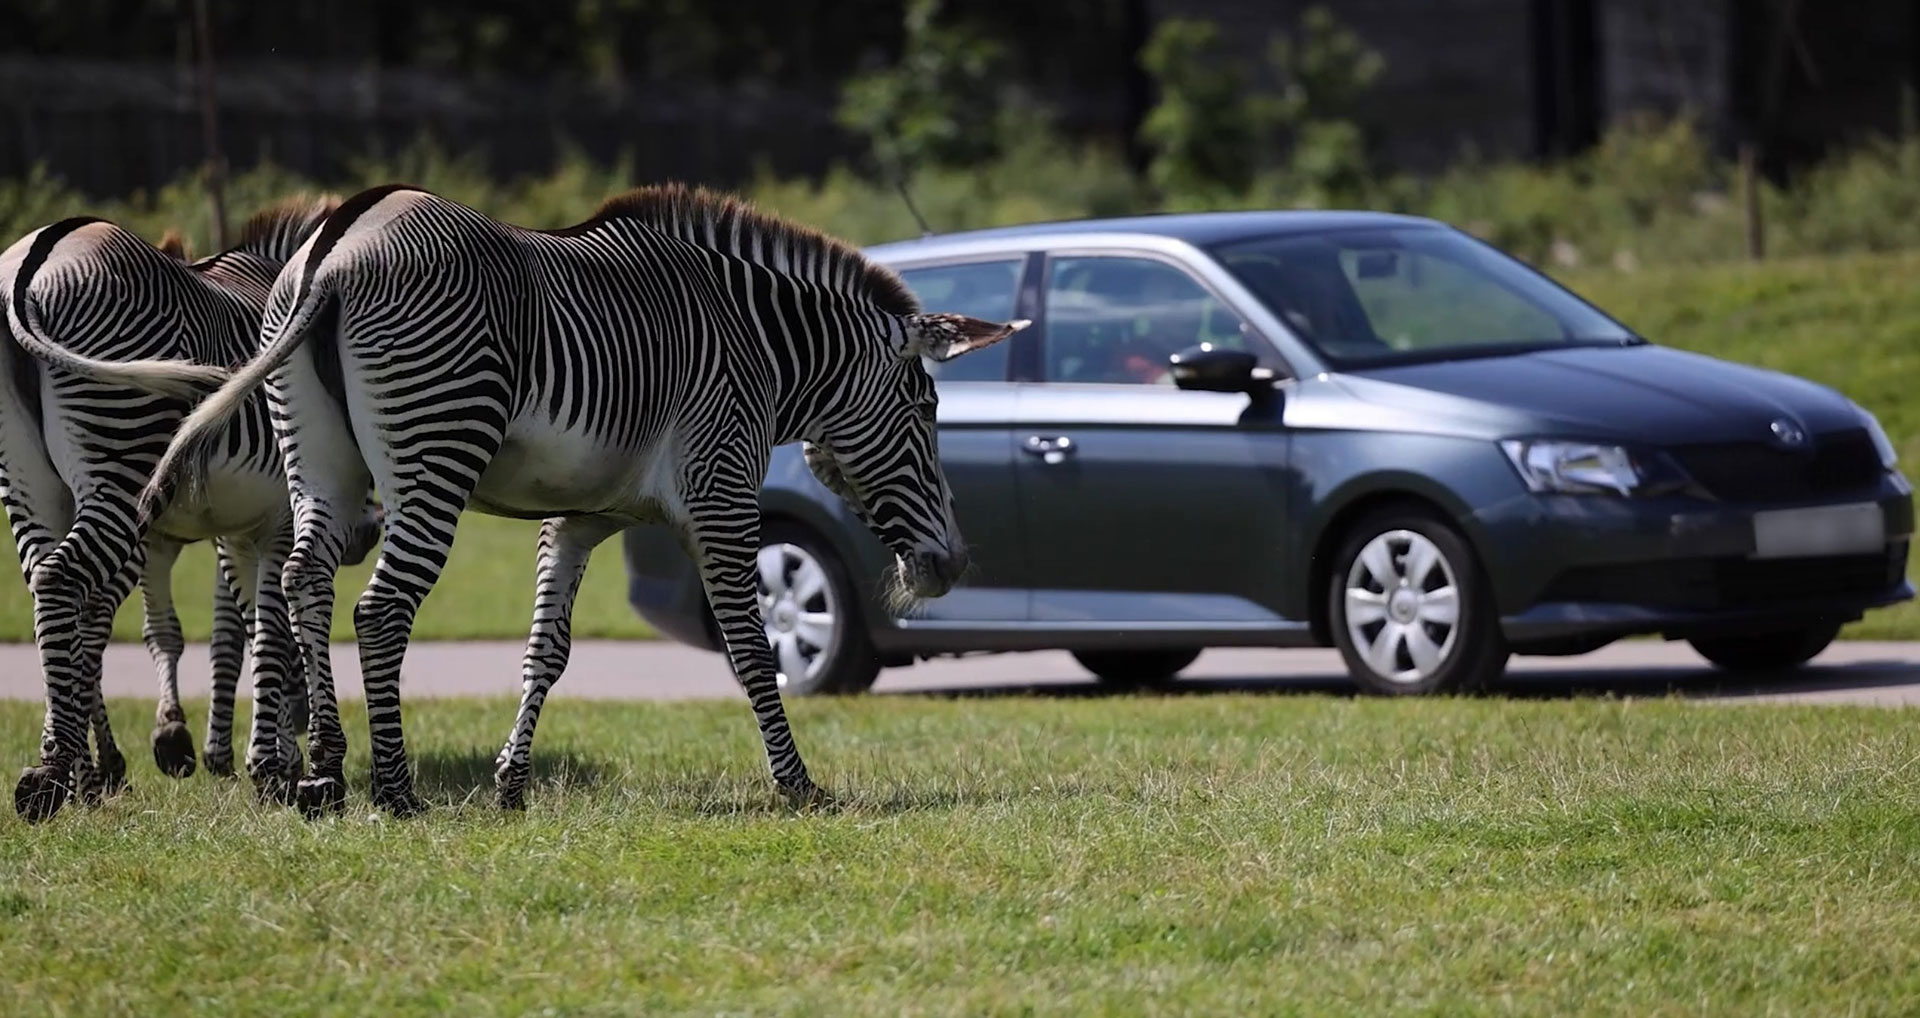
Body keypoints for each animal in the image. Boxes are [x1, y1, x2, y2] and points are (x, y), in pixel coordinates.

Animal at [0, 195, 374, 814]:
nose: (365, 537)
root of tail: (33, 260)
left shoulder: (232, 531)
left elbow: (247, 628)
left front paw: (263, 755)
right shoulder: (271, 520)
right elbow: (267, 632)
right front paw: (270, 766)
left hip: (31, 487)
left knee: (53, 594)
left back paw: (79, 769)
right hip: (118, 465)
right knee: (62, 583)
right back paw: (58, 774)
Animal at [139, 182, 1021, 814]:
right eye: (926, 407)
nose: (950, 565)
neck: (760, 348)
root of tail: (333, 247)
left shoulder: (579, 516)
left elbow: (547, 652)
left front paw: (511, 782)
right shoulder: (721, 494)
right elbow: (750, 648)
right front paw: (797, 783)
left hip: (319, 465)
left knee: (304, 583)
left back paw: (322, 773)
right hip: (437, 451)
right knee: (380, 612)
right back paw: (392, 789)